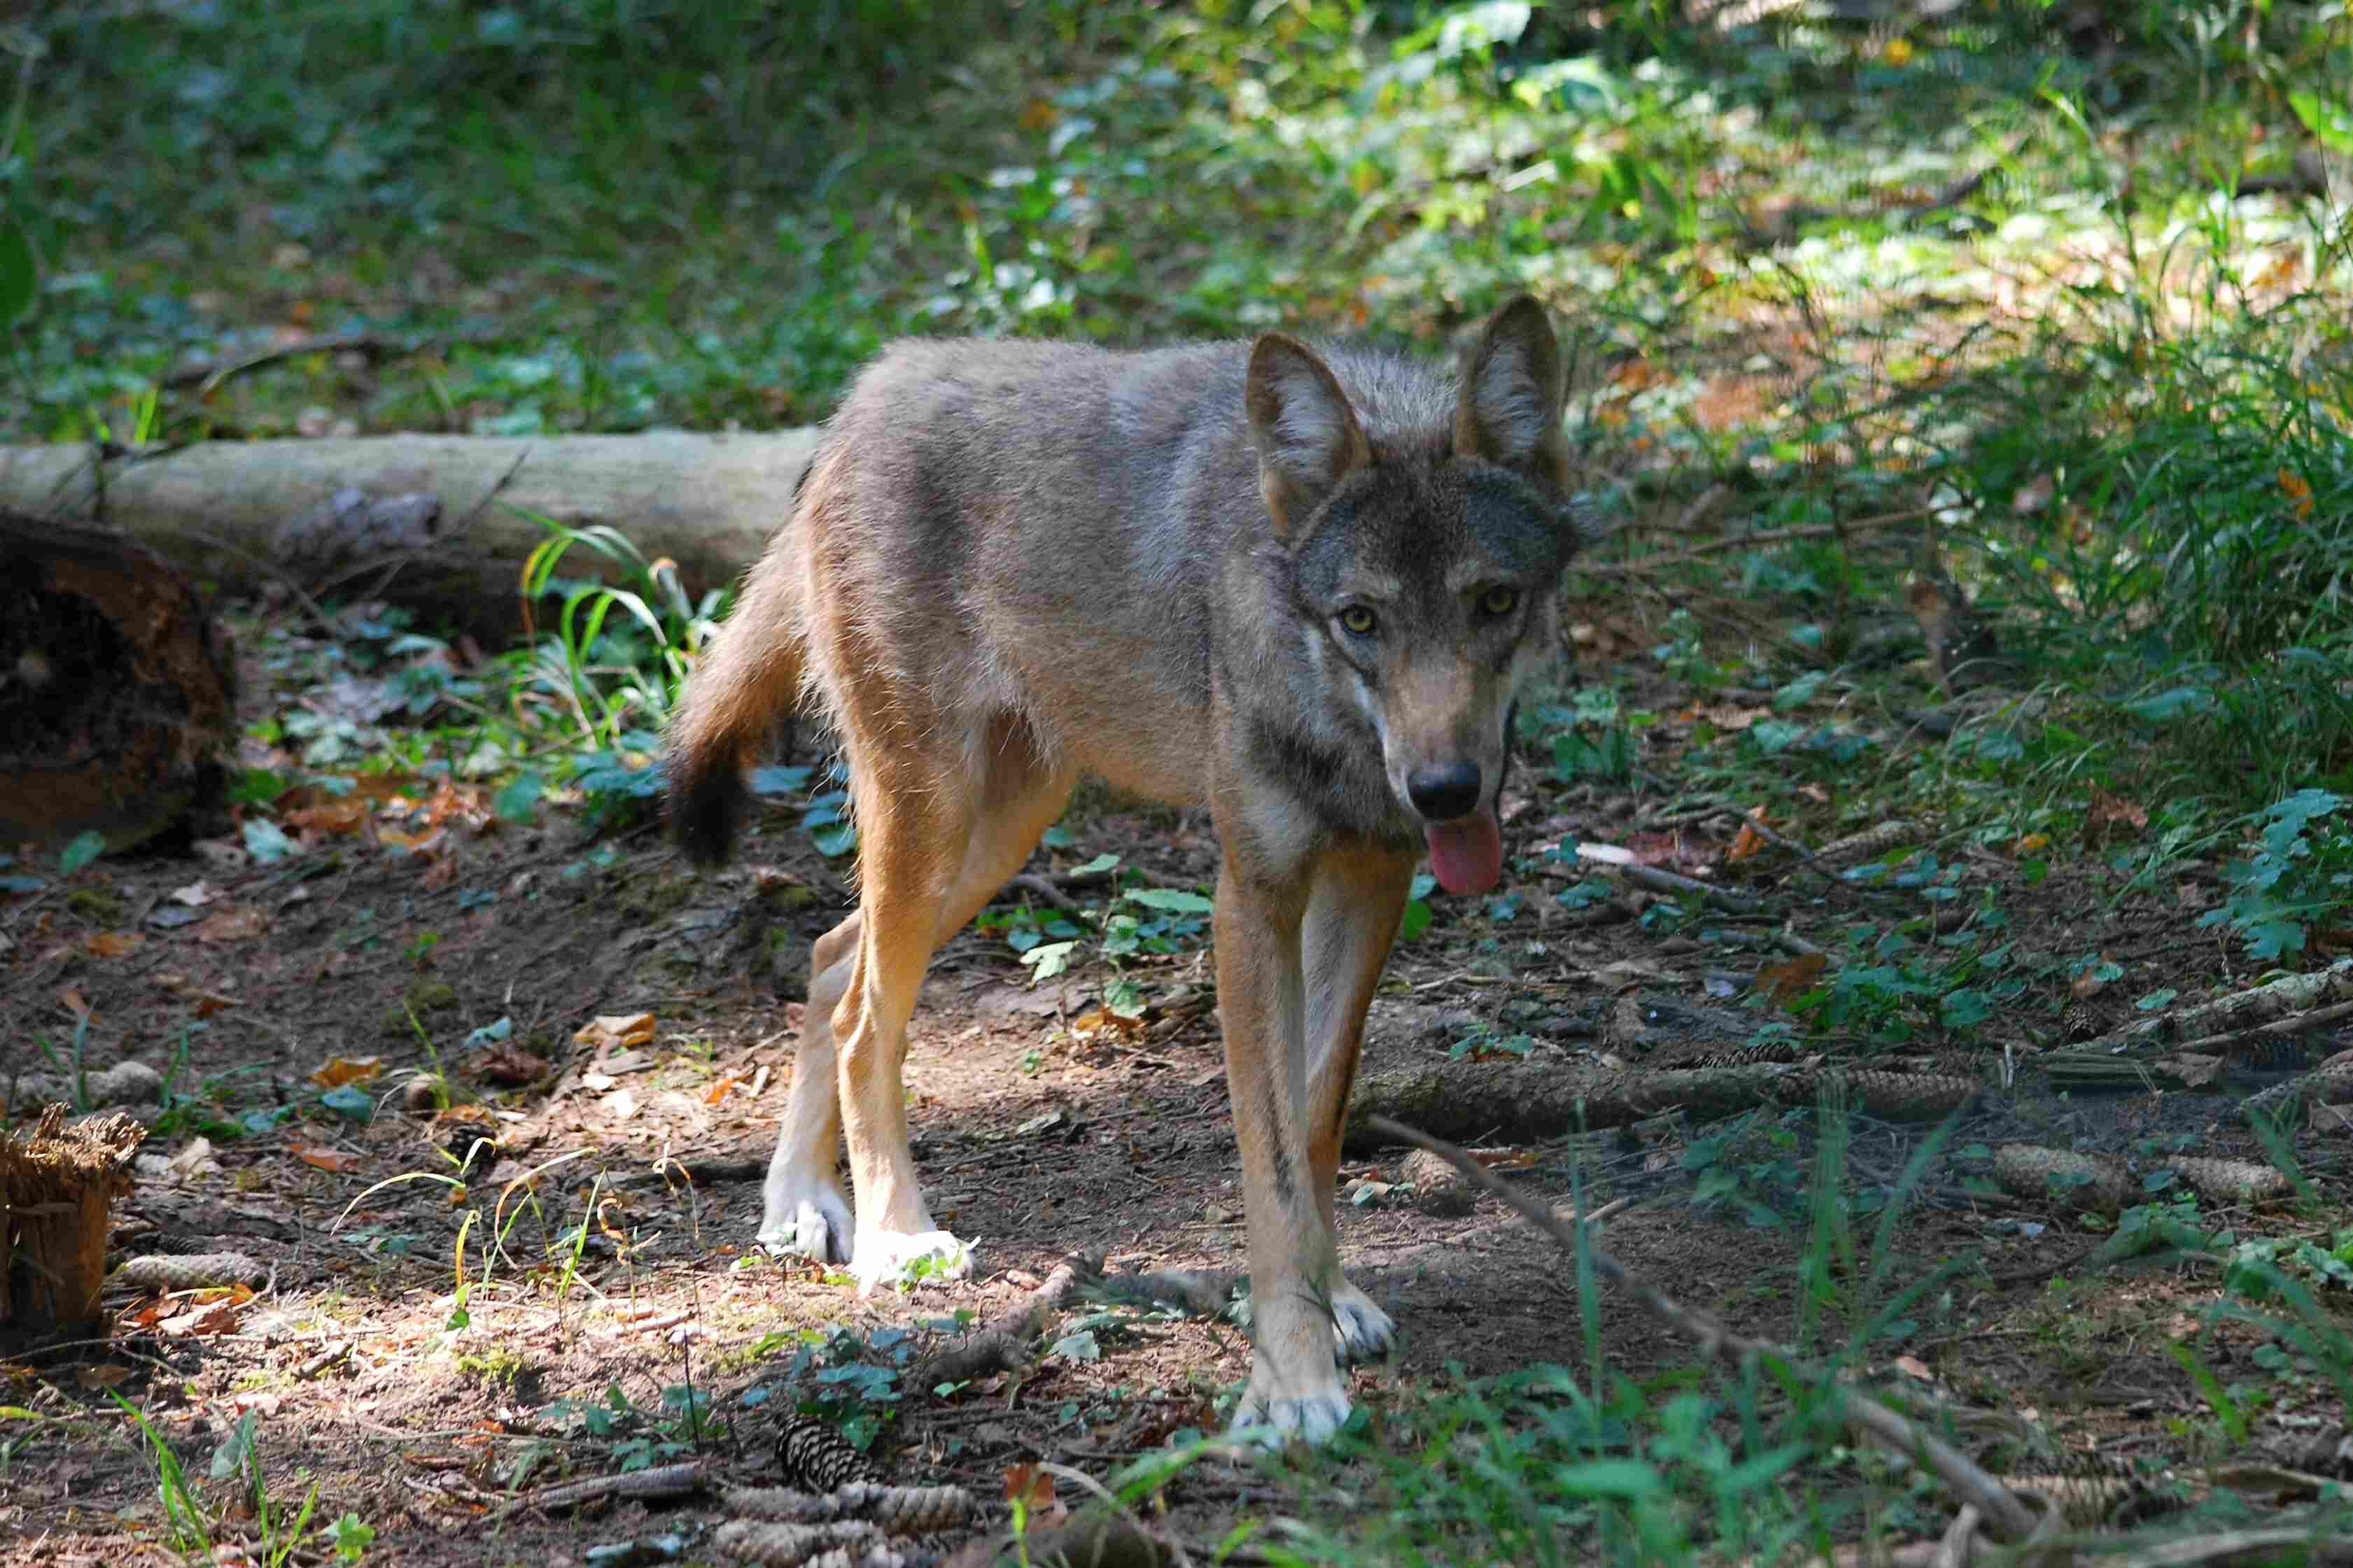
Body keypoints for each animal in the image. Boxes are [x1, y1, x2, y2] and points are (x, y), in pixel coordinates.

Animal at [663, 291, 1581, 1439]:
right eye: (1360, 620)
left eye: (1493, 603)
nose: (1446, 790)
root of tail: (864, 394)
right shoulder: (1250, 902)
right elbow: (1270, 1160)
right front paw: (1291, 1383)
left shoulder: (1370, 883)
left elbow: (1317, 1123)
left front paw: (1334, 1304)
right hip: (933, 825)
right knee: (863, 1014)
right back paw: (893, 1237)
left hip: (999, 836)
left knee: (831, 961)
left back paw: (798, 1203)